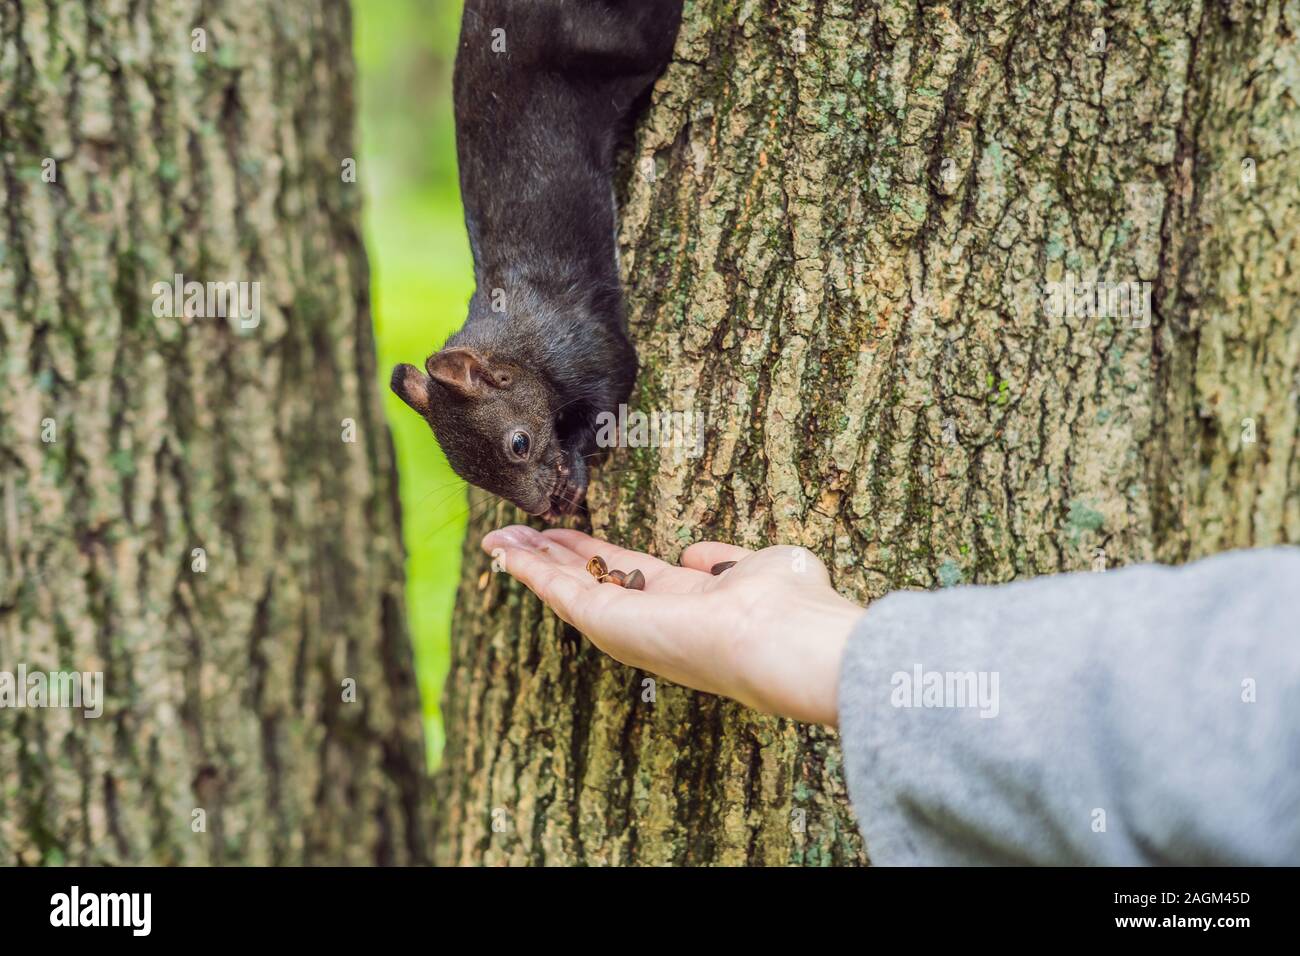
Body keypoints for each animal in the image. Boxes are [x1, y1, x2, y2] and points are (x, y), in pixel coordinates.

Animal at [390, 0, 683, 520]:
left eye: (520, 443)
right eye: (465, 472)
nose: (537, 505)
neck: (516, 344)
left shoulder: (586, 347)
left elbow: (612, 396)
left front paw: (573, 471)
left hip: (623, 39)